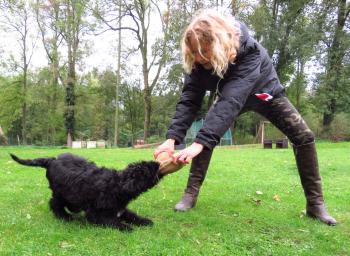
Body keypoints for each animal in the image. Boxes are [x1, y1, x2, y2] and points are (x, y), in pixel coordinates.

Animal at [10, 152, 163, 232]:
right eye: (146, 170)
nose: (158, 163)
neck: (117, 184)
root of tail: (51, 160)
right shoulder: (98, 214)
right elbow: (111, 221)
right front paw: (126, 227)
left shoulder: (120, 209)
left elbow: (132, 215)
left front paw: (144, 221)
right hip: (60, 193)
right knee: (54, 204)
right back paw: (65, 217)